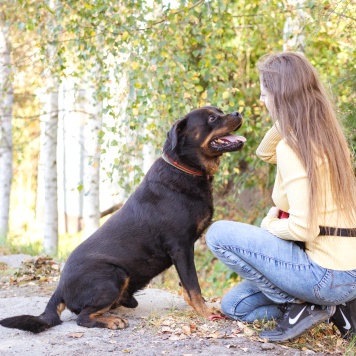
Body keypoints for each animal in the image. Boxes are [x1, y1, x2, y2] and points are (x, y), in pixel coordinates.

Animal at [0, 104, 245, 332]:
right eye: (212, 118)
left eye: (220, 111)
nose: (238, 113)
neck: (185, 169)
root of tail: (59, 287)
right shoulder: (181, 247)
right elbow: (193, 286)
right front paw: (205, 311)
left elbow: (187, 287)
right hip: (113, 275)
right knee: (83, 317)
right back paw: (112, 320)